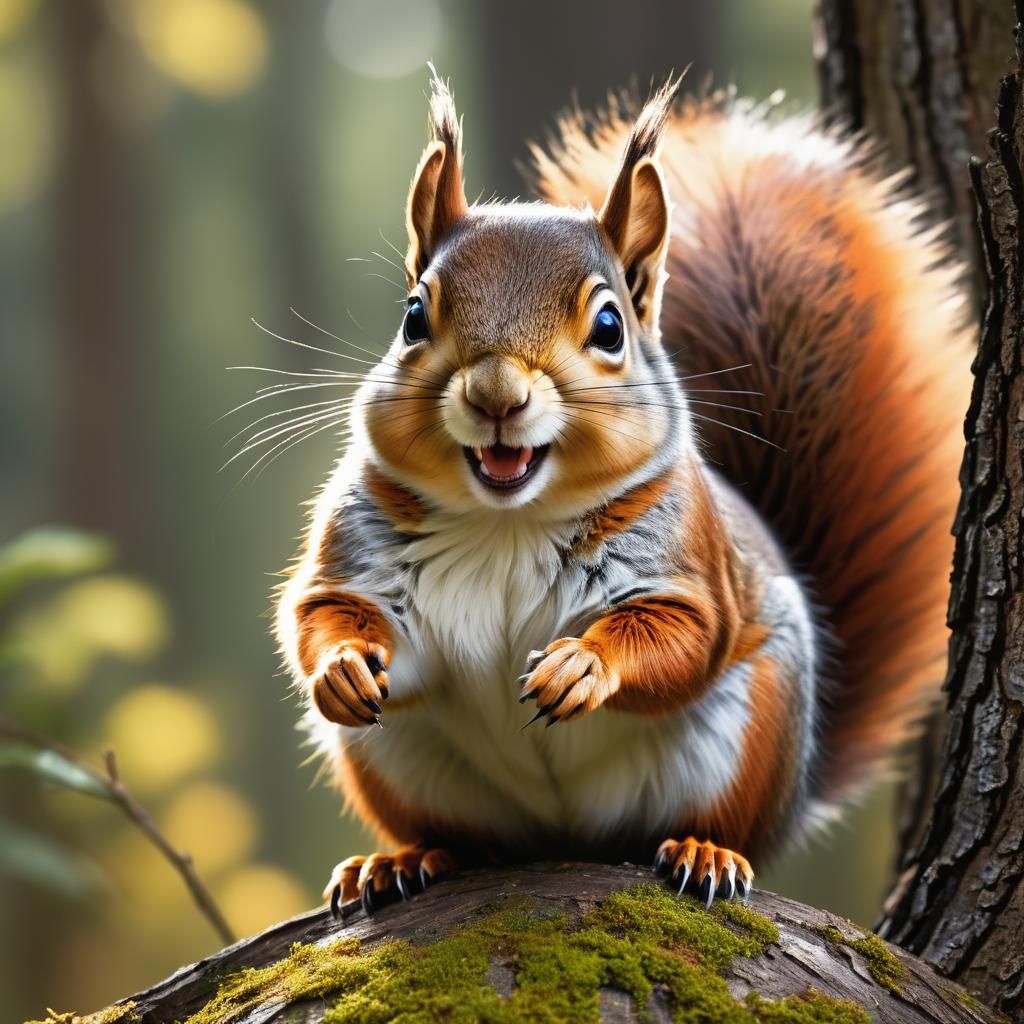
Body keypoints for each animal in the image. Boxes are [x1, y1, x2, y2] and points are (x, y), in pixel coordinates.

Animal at [276, 71, 971, 915]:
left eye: (609, 327)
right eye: (413, 316)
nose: (495, 394)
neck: (506, 524)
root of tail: (557, 841)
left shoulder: (687, 568)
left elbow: (679, 636)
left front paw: (581, 666)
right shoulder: (359, 549)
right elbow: (323, 612)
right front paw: (343, 667)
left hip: (750, 731)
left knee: (718, 824)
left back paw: (706, 851)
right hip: (397, 763)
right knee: (455, 835)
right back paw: (402, 858)